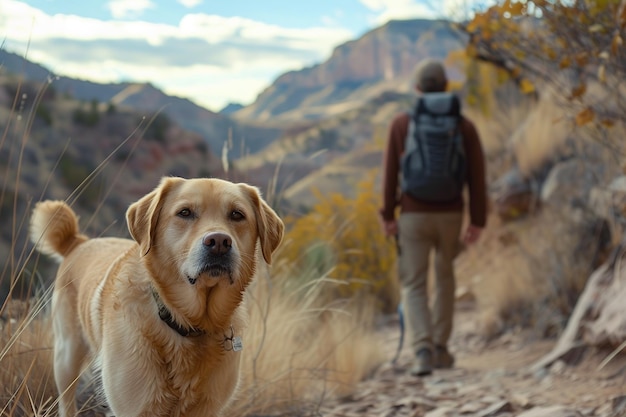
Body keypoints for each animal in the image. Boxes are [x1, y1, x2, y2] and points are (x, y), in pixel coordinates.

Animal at [28, 176, 282, 416]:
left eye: (237, 215)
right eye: (185, 212)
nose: (219, 242)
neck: (187, 323)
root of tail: (78, 241)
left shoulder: (207, 408)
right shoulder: (135, 408)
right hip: (66, 355)